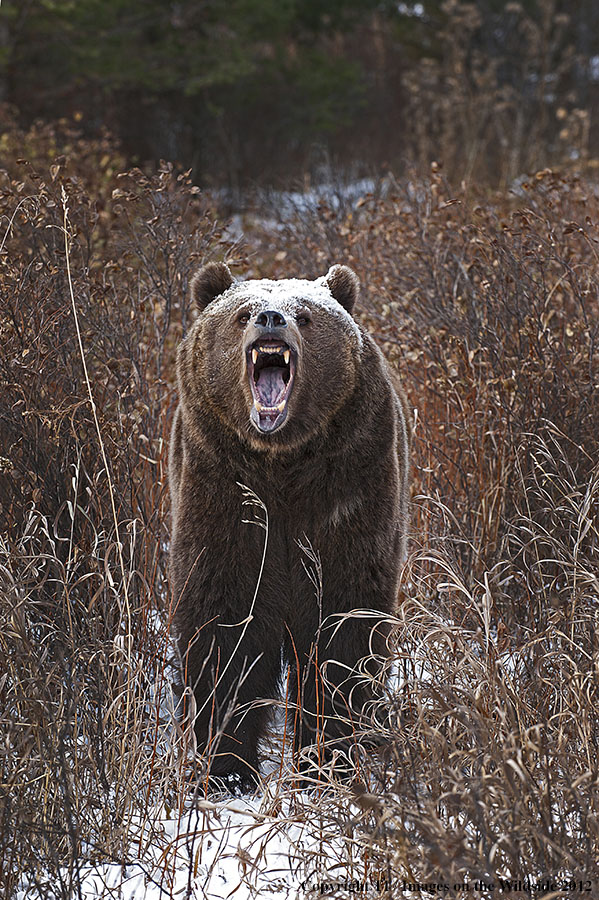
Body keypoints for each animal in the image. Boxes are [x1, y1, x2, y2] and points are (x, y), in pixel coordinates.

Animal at [171, 262, 410, 788]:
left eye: (305, 315)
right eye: (242, 313)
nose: (271, 318)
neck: (281, 461)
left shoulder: (346, 490)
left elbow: (342, 623)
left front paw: (326, 757)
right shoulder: (223, 490)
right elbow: (227, 622)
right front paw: (228, 768)